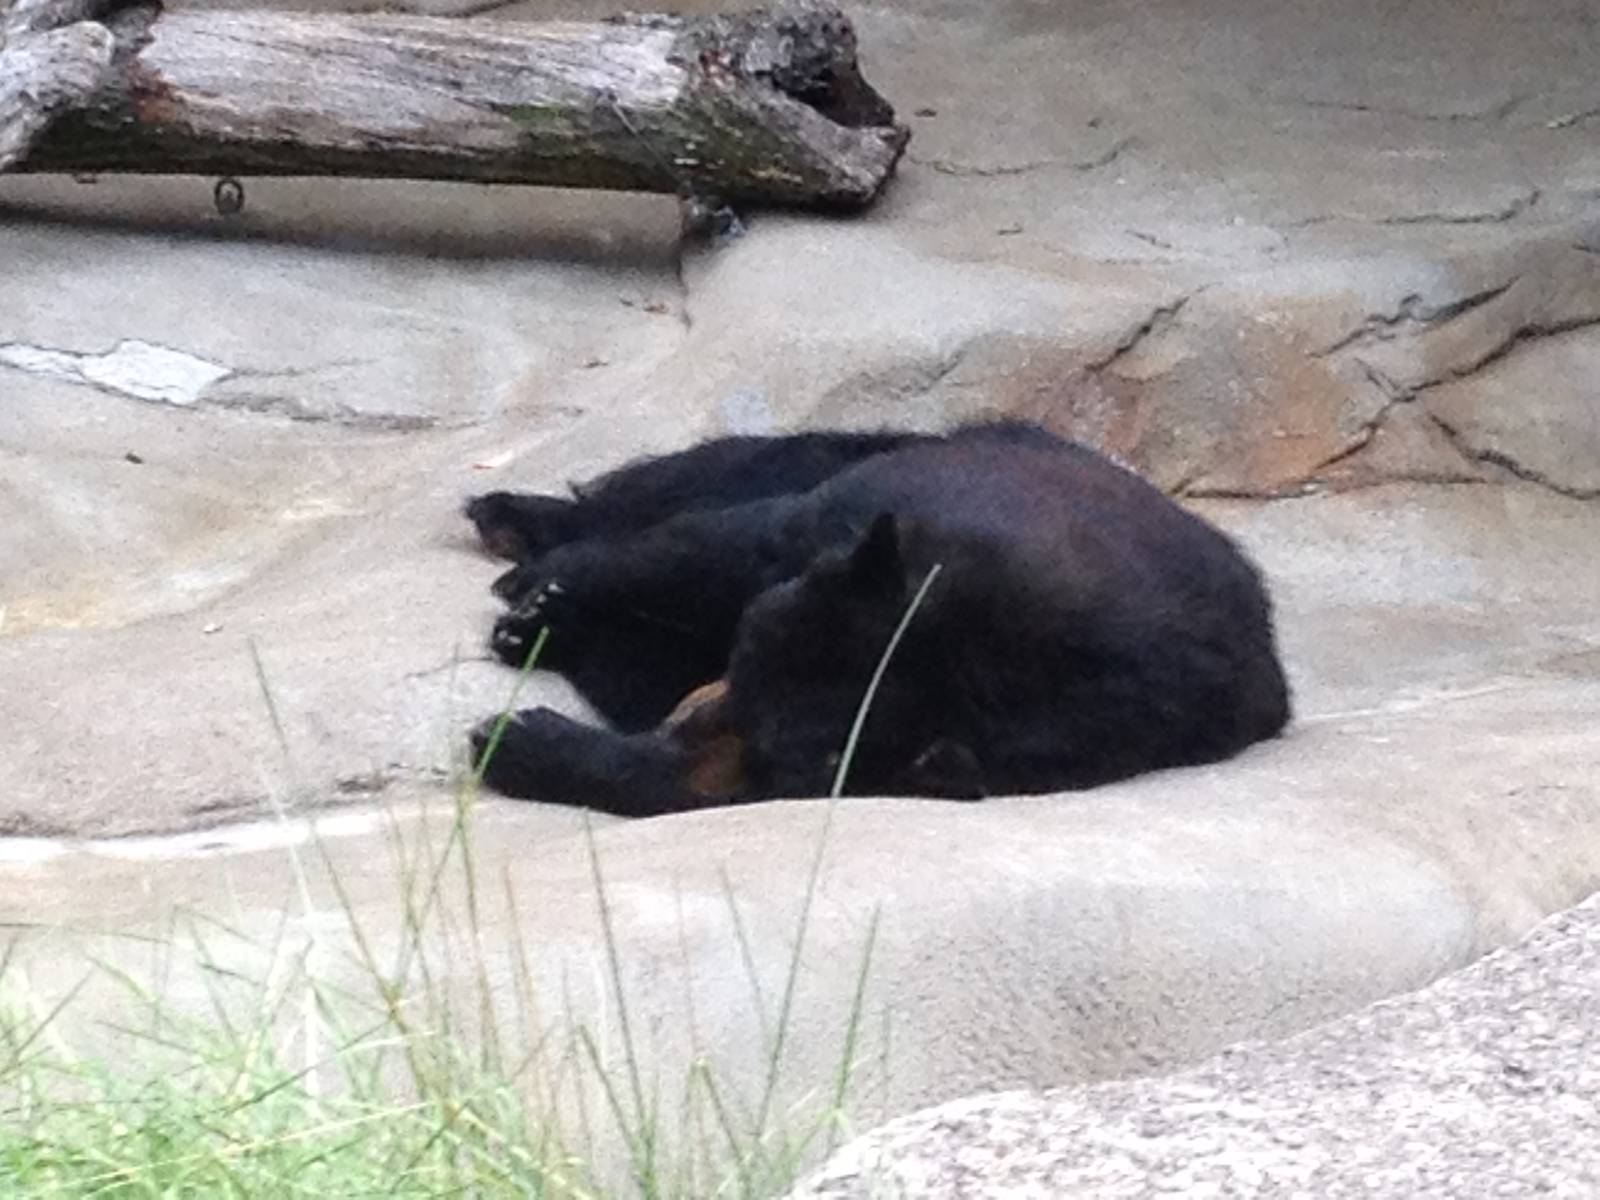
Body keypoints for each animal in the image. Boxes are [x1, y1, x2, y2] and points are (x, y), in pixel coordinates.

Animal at [464, 421, 1291, 816]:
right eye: (749, 650)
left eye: (784, 752)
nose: (687, 714)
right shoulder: (857, 523)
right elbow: (712, 548)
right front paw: (542, 594)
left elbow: (693, 783)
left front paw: (518, 740)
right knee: (714, 479)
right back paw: (515, 529)